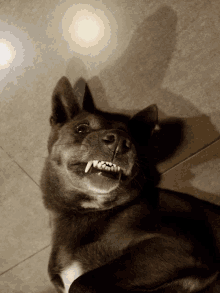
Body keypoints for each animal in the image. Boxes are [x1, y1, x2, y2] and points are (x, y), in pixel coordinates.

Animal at [40, 76, 220, 290]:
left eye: (132, 139)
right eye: (81, 128)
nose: (120, 141)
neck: (88, 212)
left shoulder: (174, 245)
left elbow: (81, 282)